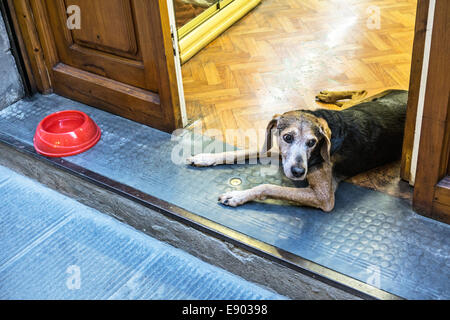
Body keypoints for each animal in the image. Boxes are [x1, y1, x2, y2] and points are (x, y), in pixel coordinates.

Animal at [186, 89, 408, 211]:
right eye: (287, 137)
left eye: (312, 142)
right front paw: (206, 157)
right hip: (364, 101)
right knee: (359, 93)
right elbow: (243, 152)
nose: (299, 172)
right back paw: (330, 95)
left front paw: (237, 196)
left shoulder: (324, 197)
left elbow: (268, 186)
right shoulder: (280, 153)